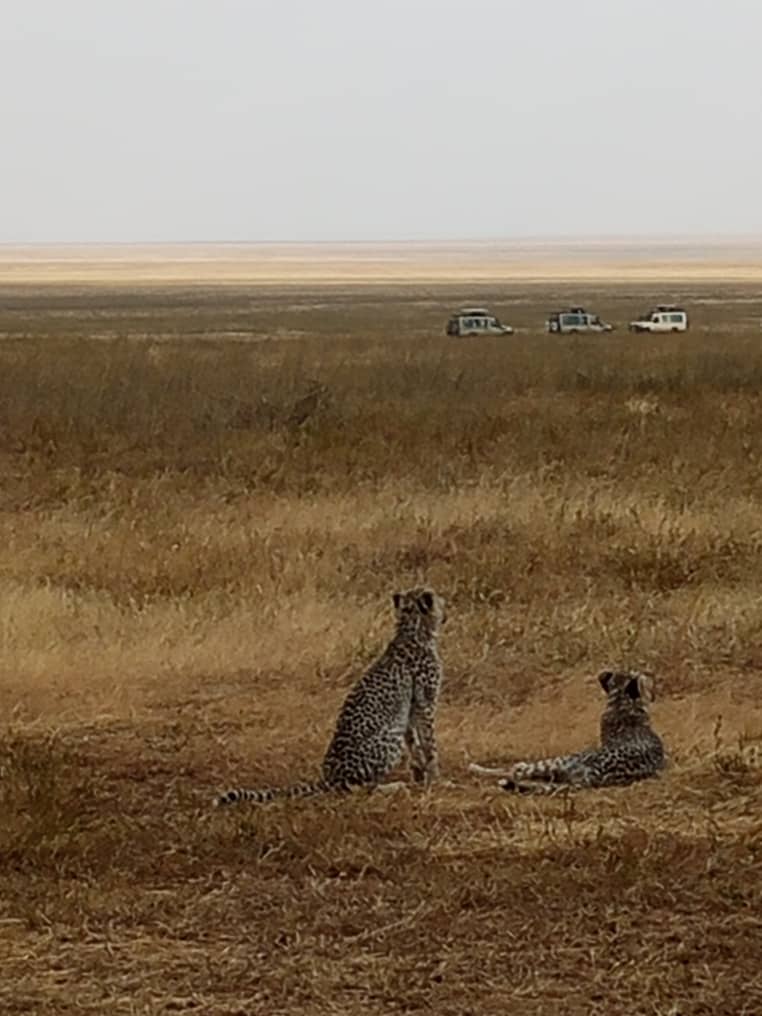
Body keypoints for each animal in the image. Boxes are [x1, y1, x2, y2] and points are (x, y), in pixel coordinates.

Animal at [214, 587, 445, 806]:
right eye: (437, 599)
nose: (445, 611)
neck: (412, 628)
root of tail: (328, 776)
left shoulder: (410, 708)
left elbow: (414, 742)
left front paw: (419, 774)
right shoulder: (425, 704)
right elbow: (429, 743)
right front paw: (436, 778)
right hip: (389, 738)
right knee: (355, 788)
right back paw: (392, 787)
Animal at [470, 670, 665, 793]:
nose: (653, 692)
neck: (621, 703)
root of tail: (593, 775)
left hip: (556, 762)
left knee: (514, 772)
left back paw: (480, 769)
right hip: (559, 773)